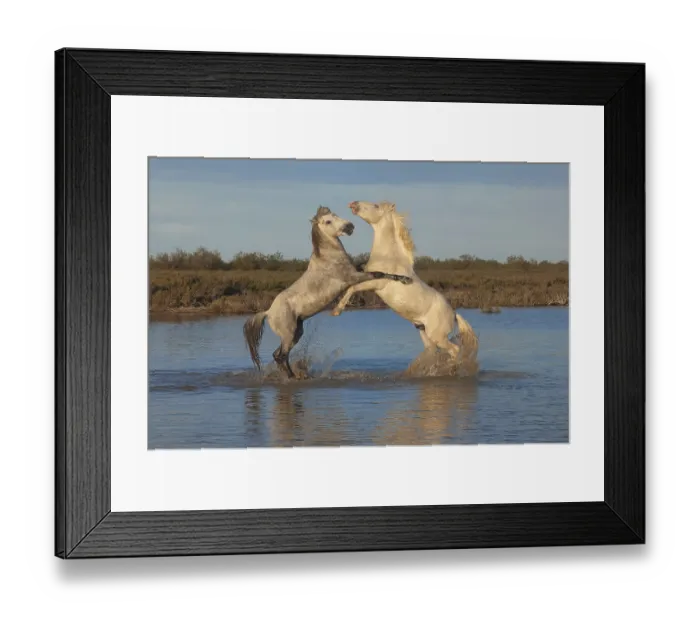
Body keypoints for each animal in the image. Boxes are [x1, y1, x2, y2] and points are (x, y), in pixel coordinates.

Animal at [243, 205, 414, 379]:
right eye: (327, 221)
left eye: (335, 215)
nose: (349, 226)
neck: (329, 258)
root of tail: (268, 312)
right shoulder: (353, 277)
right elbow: (378, 273)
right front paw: (405, 279)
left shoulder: (356, 271)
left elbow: (368, 267)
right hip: (288, 334)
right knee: (280, 356)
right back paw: (293, 377)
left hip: (296, 333)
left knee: (279, 355)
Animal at [330, 200, 479, 361]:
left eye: (376, 206)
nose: (353, 204)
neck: (388, 259)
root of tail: (454, 314)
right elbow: (350, 286)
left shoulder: (375, 283)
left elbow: (352, 288)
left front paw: (337, 311)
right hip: (424, 333)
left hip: (438, 336)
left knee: (455, 350)